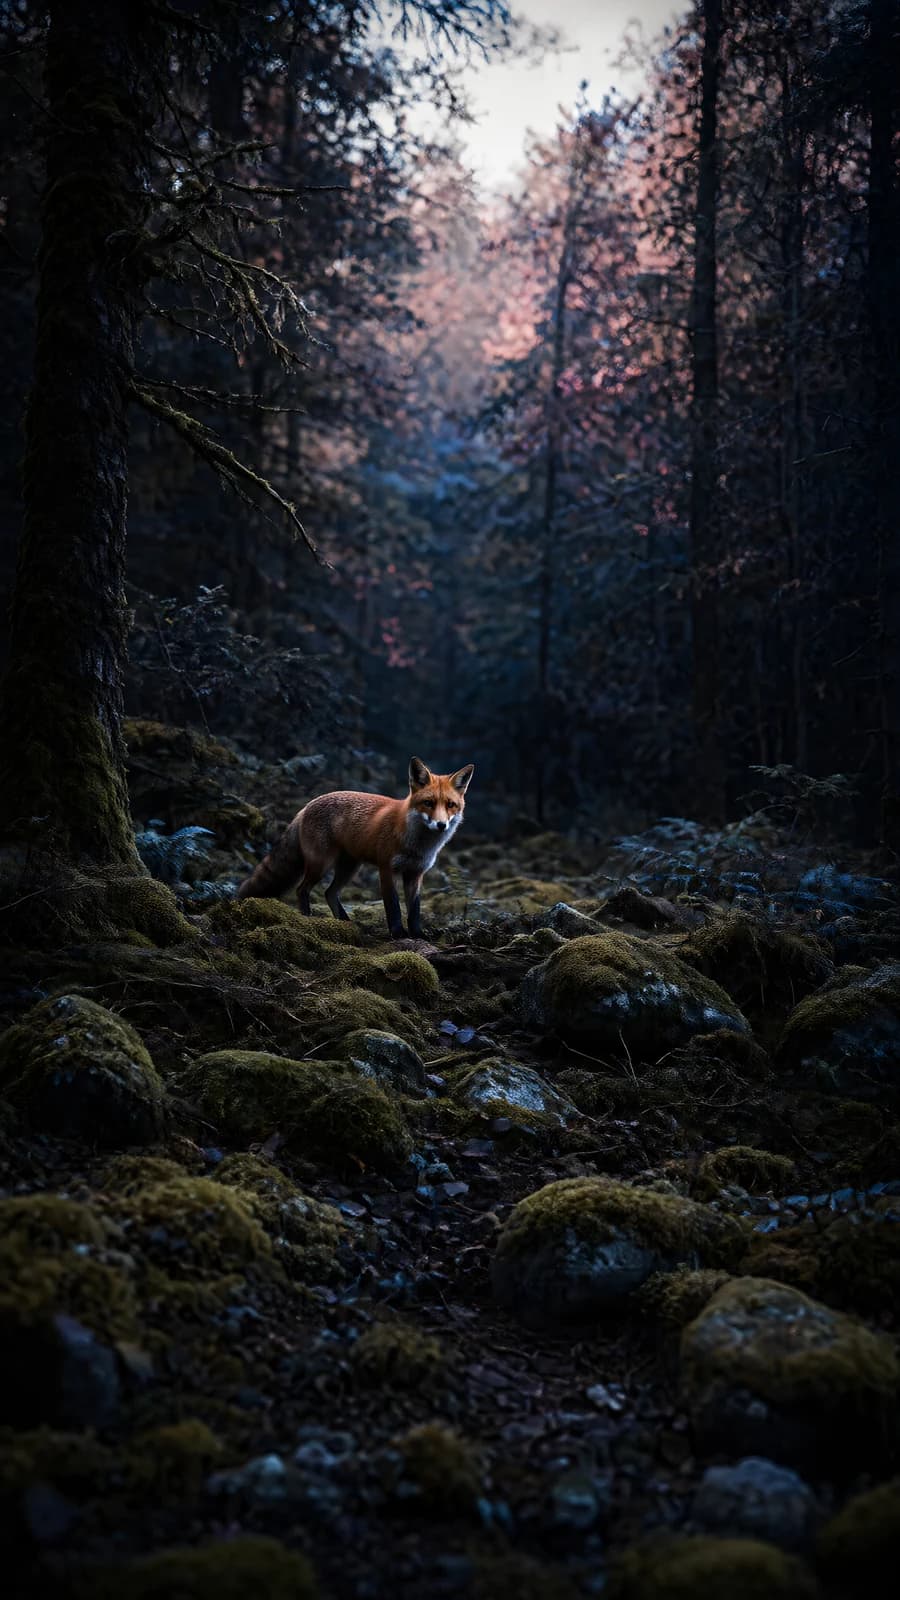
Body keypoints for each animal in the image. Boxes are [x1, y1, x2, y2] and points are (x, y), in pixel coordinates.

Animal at [236, 756, 475, 939]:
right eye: (428, 803)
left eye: (450, 805)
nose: (441, 825)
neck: (417, 845)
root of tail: (306, 806)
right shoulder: (387, 869)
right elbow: (393, 906)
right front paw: (398, 934)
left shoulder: (415, 873)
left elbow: (414, 910)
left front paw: (417, 934)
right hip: (321, 864)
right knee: (302, 889)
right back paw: (308, 919)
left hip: (349, 868)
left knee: (329, 893)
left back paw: (345, 922)